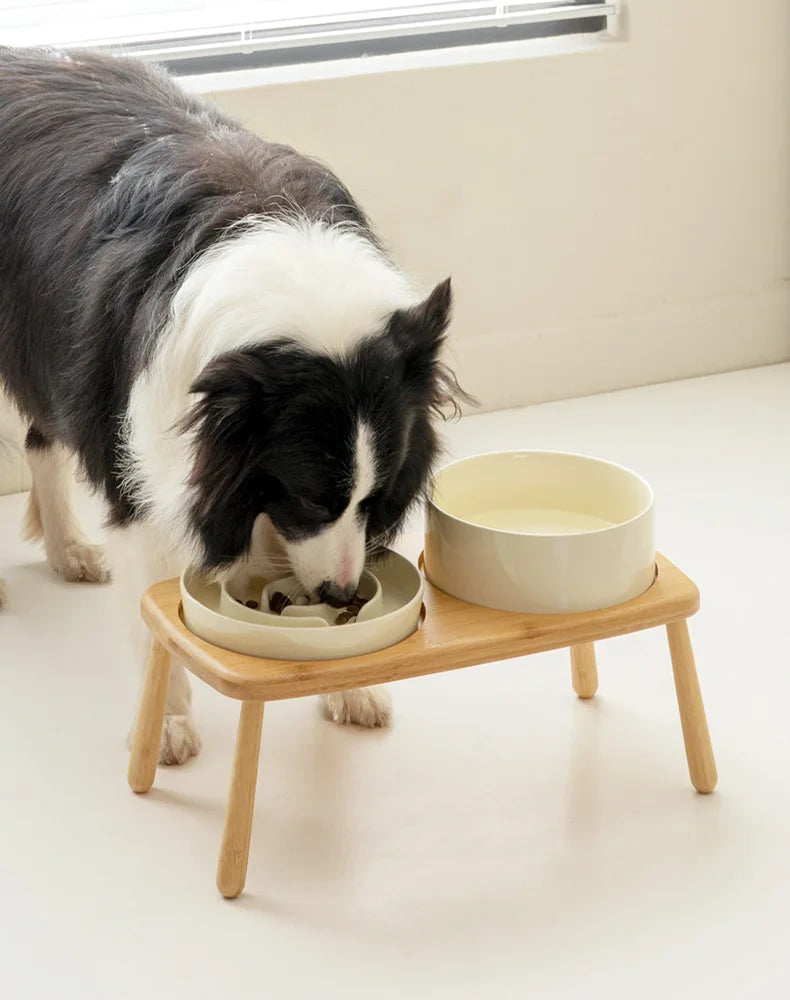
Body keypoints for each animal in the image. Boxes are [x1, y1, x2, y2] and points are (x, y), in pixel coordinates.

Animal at [0, 47, 470, 756]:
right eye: (311, 498)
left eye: (379, 498)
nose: (339, 590)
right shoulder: (148, 437)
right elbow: (156, 603)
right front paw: (165, 728)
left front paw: (349, 684)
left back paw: (70, 551)